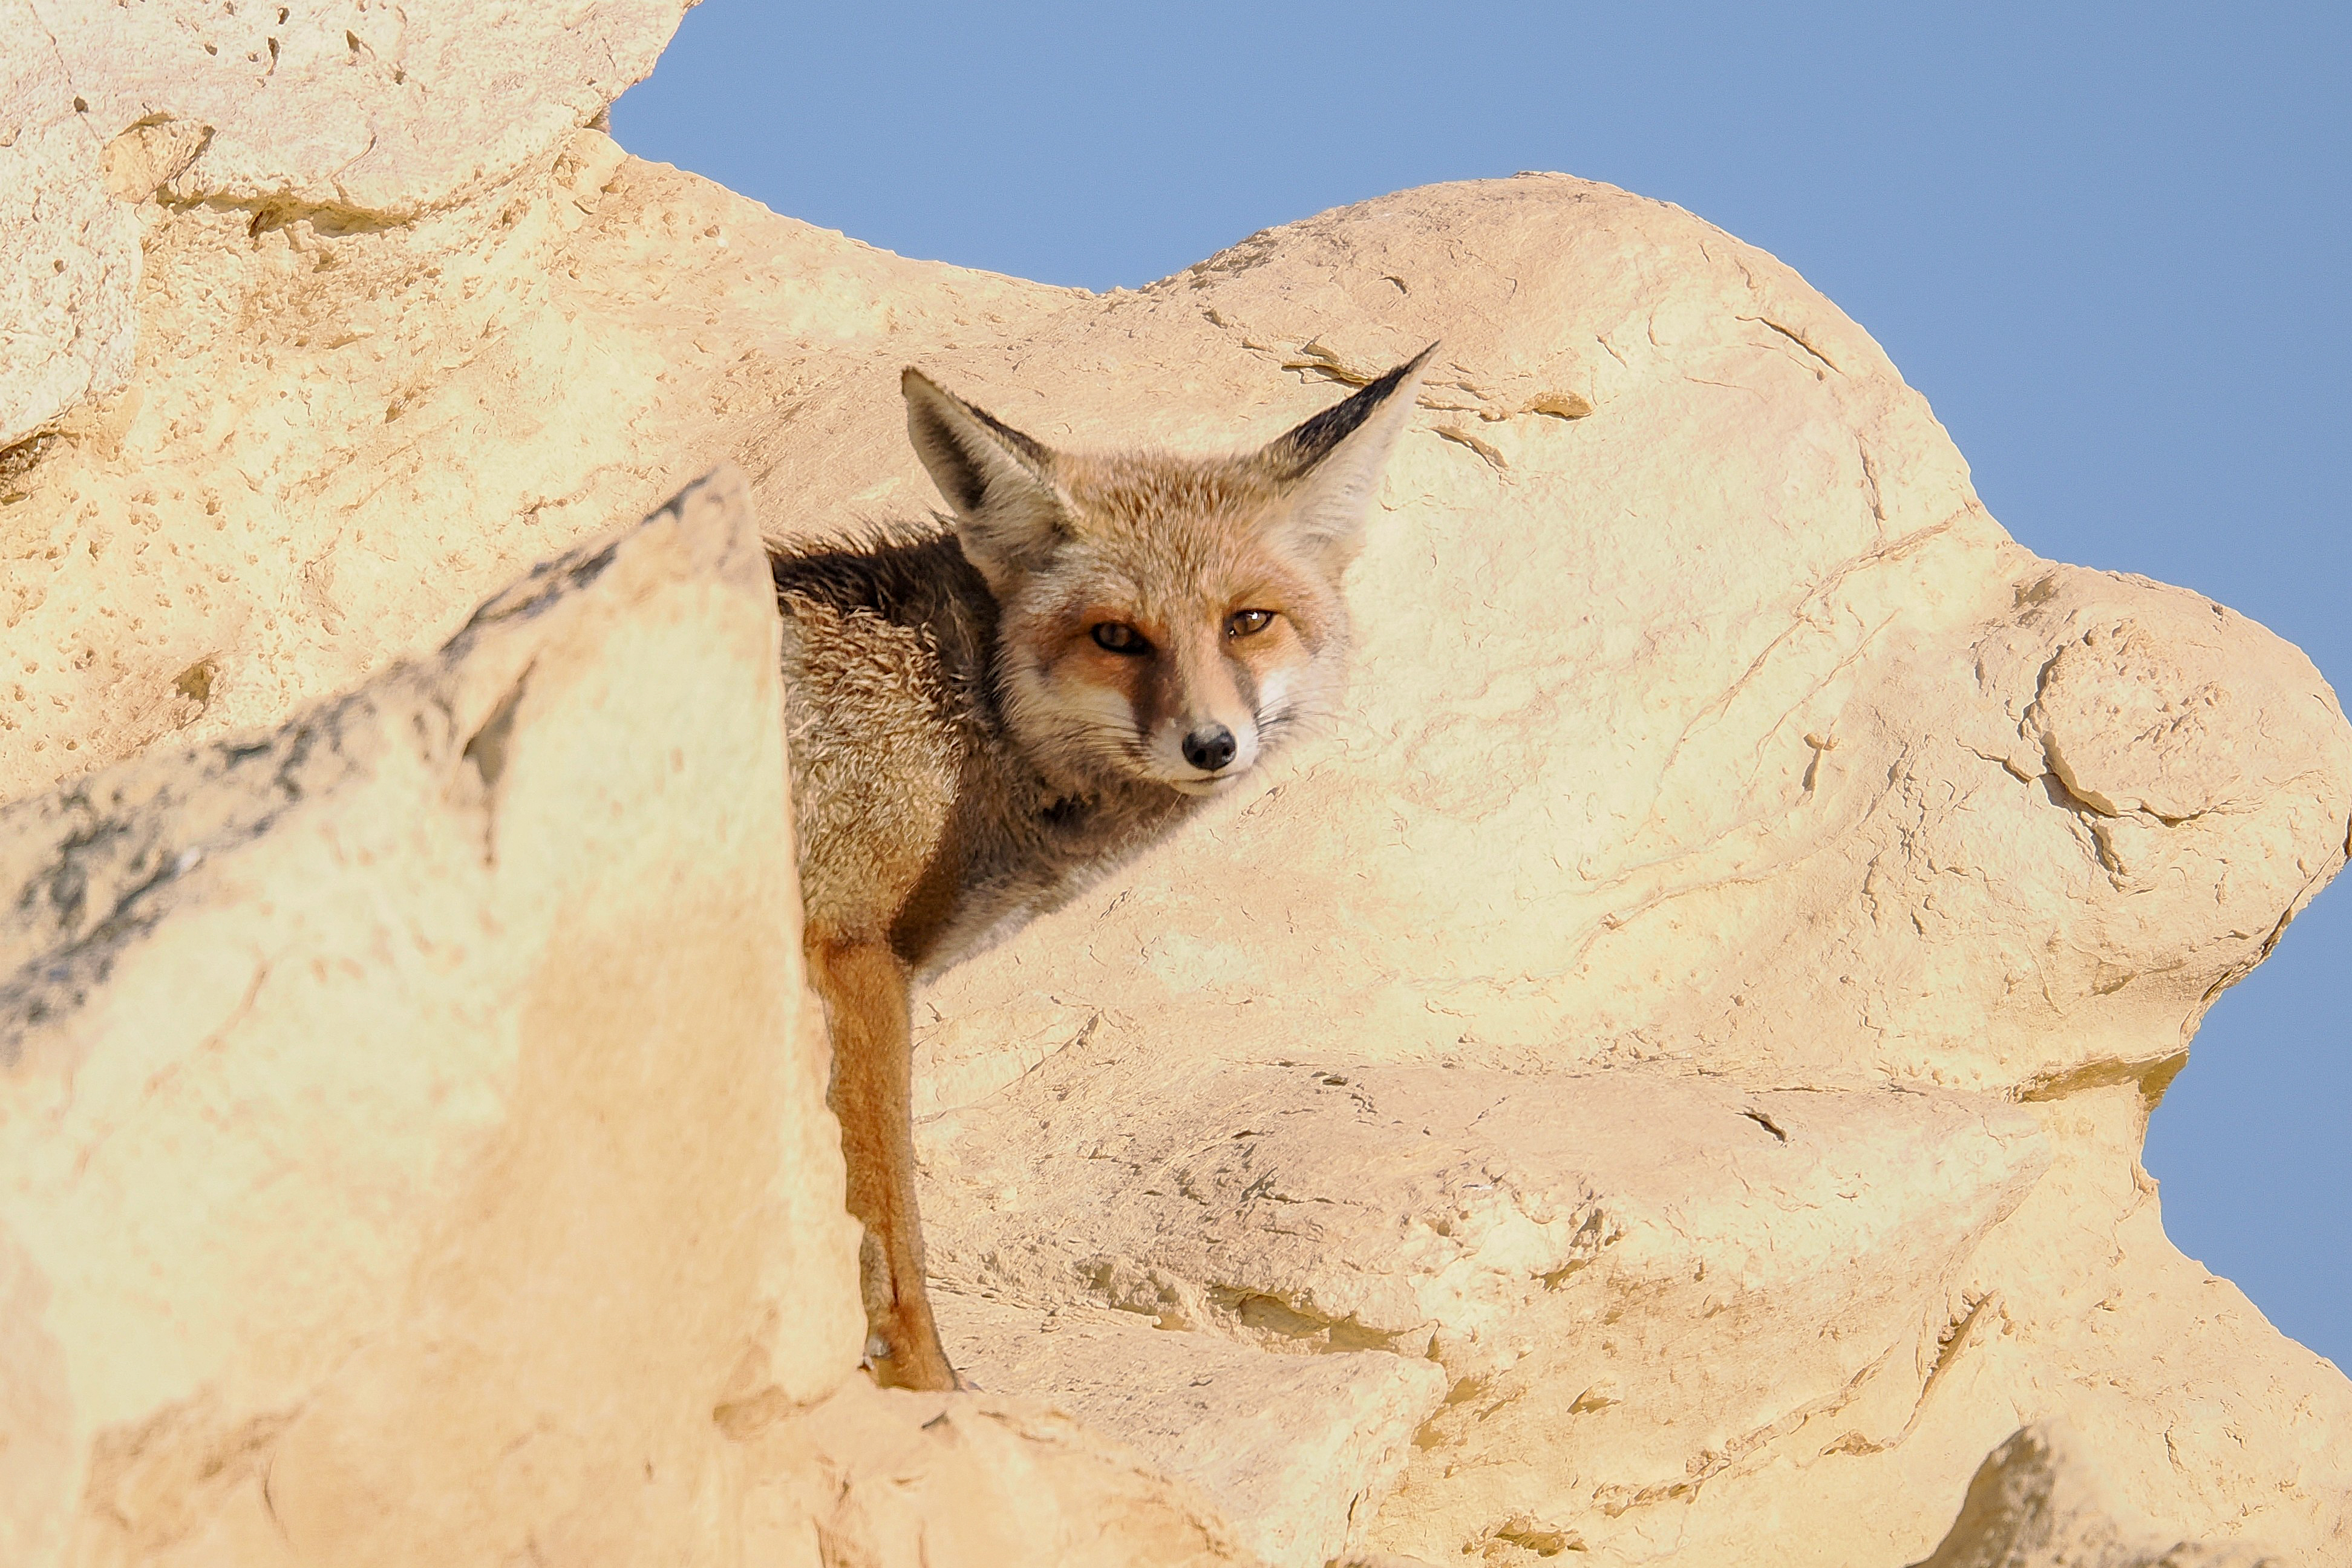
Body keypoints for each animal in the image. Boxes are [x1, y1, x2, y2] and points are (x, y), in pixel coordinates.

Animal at [771, 346, 1434, 1389]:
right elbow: (889, 1223)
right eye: (1117, 636)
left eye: (1248, 621)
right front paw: (928, 1388)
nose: (1212, 745)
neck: (957, 716)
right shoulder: (853, 954)